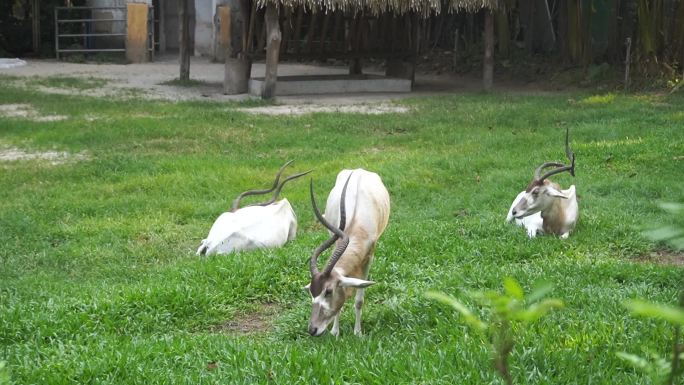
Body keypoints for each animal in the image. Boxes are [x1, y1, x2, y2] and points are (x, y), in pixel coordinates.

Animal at [306, 169, 390, 336]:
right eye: (311, 292)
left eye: (328, 291)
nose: (312, 329)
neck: (356, 221)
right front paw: (335, 332)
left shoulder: (368, 259)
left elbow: (359, 300)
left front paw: (357, 332)